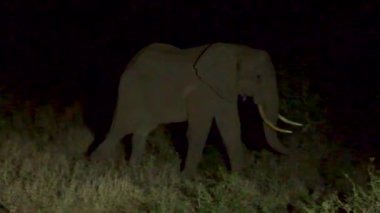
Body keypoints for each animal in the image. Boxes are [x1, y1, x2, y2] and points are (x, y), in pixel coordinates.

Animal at [90, 42, 302, 176]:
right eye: (258, 77)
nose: (293, 150)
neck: (236, 49)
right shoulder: (202, 92)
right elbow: (199, 131)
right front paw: (187, 180)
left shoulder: (224, 89)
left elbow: (231, 129)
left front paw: (239, 180)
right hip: (130, 93)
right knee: (119, 129)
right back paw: (92, 167)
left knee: (140, 131)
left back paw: (133, 172)